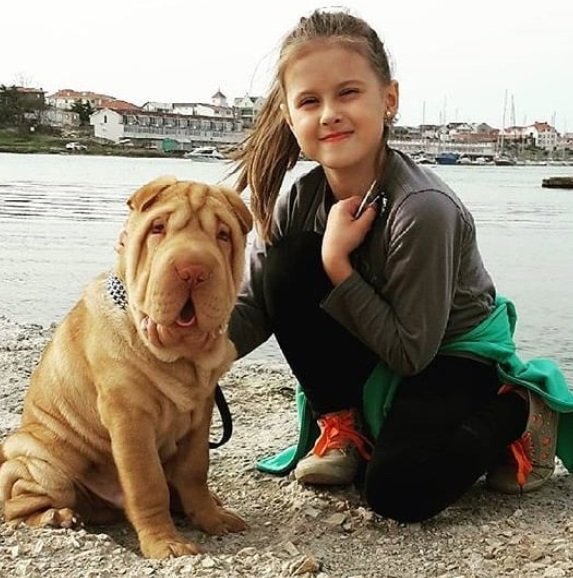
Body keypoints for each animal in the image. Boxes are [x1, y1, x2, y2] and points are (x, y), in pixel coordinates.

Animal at [0, 176, 252, 560]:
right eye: (158, 228)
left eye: (223, 235)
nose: (193, 270)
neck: (178, 358)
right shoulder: (130, 418)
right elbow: (148, 484)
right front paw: (166, 543)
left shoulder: (201, 414)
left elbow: (195, 470)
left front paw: (211, 518)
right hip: (42, 461)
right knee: (17, 505)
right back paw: (57, 516)